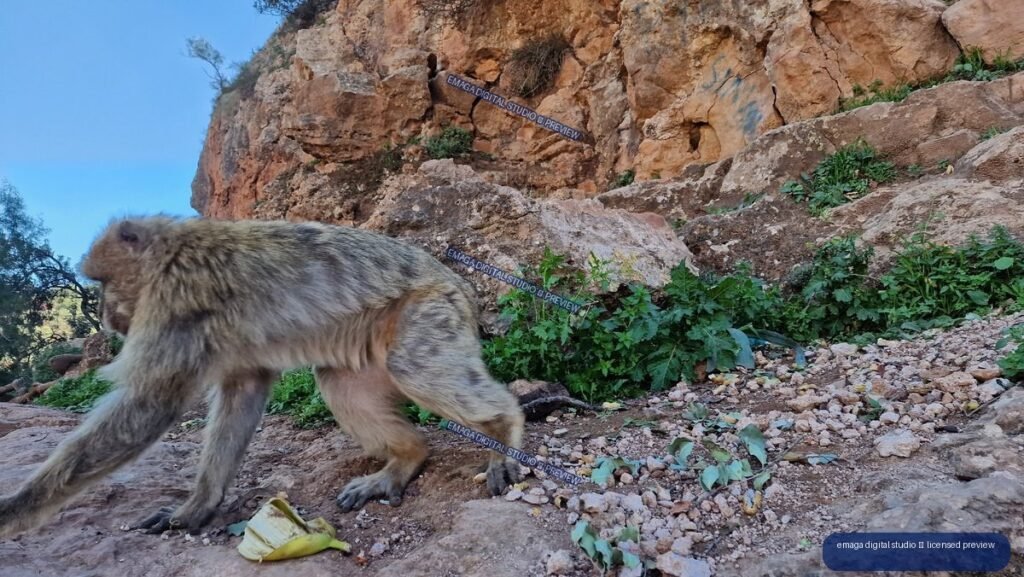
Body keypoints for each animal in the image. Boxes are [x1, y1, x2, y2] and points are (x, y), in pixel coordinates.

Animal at [0, 216, 525, 538]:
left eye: (105, 283)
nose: (107, 316)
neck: (169, 251)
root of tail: (461, 284)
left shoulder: (174, 303)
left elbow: (151, 404)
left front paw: (14, 512)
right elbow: (245, 388)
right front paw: (198, 506)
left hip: (431, 311)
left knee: (414, 368)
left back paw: (505, 432)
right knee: (338, 382)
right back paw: (406, 458)